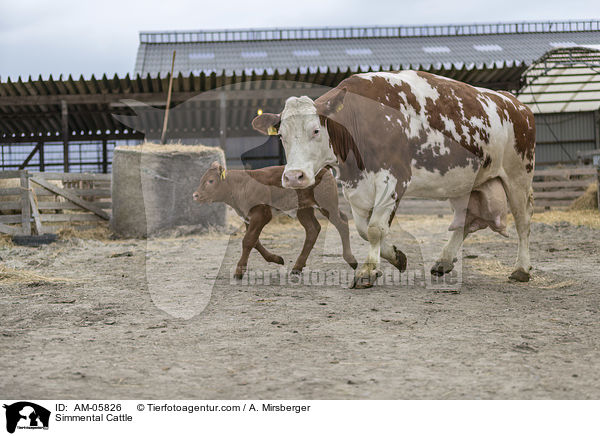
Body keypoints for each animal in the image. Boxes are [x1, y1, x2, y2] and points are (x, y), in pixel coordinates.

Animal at [195, 161, 358, 280]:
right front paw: (276, 259)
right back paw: (297, 267)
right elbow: (254, 241)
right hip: (304, 209)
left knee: (342, 224)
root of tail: (323, 167)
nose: (195, 195)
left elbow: (248, 241)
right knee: (313, 229)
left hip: (327, 204)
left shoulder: (261, 214)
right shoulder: (248, 218)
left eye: (210, 181)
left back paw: (351, 260)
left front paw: (239, 271)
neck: (241, 185)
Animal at [252, 70, 536, 288]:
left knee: (523, 222)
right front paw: (396, 256)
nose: (294, 176)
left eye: (315, 130)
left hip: (519, 175)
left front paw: (368, 270)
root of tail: (517, 104)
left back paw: (522, 269)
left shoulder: (393, 180)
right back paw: (444, 260)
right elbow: (363, 229)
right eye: (281, 136)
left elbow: (375, 228)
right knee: (465, 220)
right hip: (467, 183)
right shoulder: (355, 187)